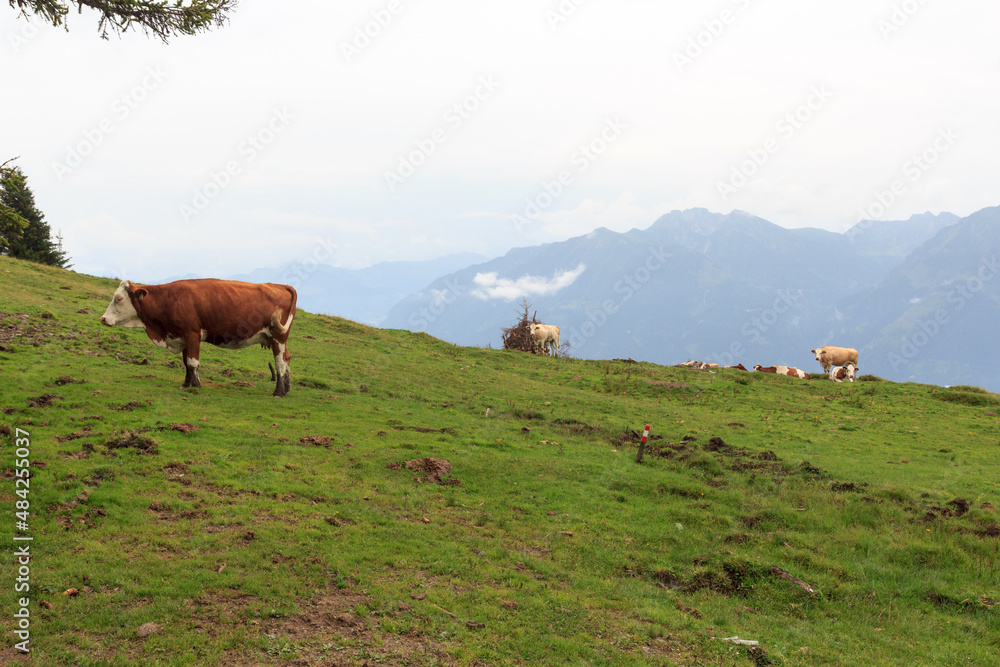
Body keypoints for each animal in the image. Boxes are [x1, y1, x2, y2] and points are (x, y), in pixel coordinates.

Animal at [100, 278, 296, 396]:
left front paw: (196, 386)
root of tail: (280, 285)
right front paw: (186, 384)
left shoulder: (192, 334)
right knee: (286, 358)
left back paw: (278, 392)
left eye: (119, 298)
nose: (103, 318)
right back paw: (286, 388)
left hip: (278, 336)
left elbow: (193, 362)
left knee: (280, 362)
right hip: (277, 338)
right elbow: (186, 362)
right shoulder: (182, 336)